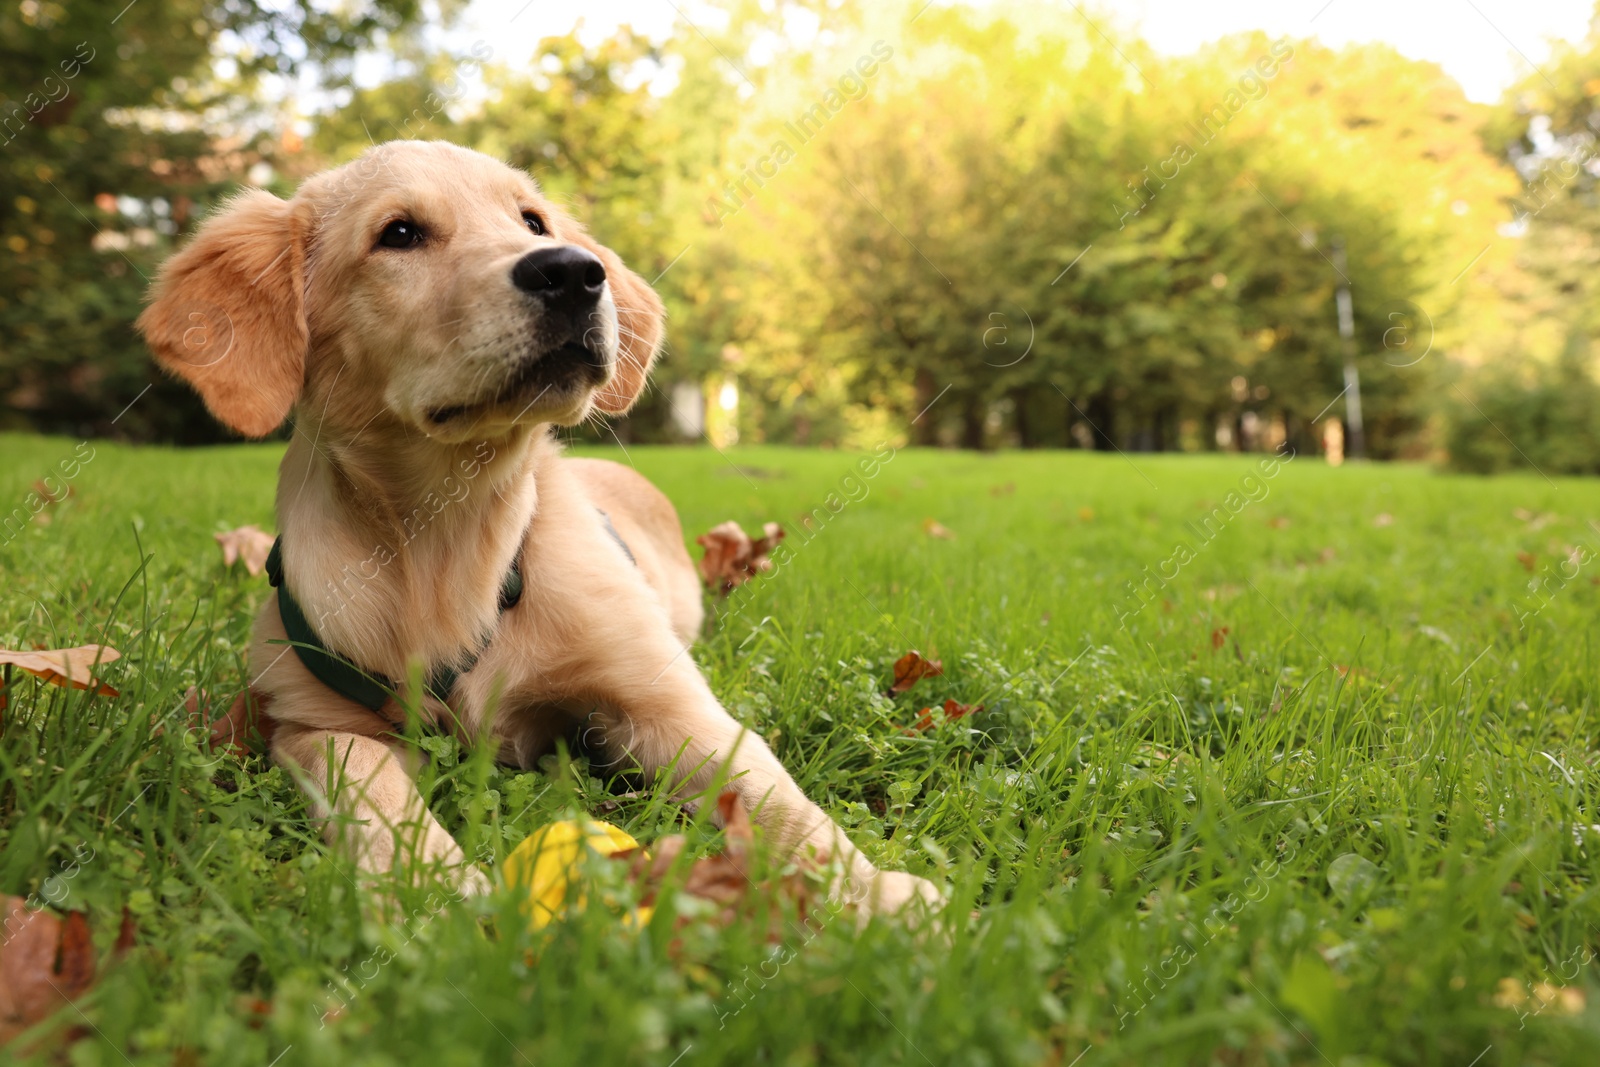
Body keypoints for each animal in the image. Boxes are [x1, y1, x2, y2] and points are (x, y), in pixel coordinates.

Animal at [140, 139, 934, 921]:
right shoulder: (313, 719)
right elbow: (368, 780)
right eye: (399, 233)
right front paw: (436, 889)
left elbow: (779, 800)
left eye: (532, 221)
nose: (573, 272)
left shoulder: (665, 700)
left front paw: (883, 894)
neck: (452, 536)